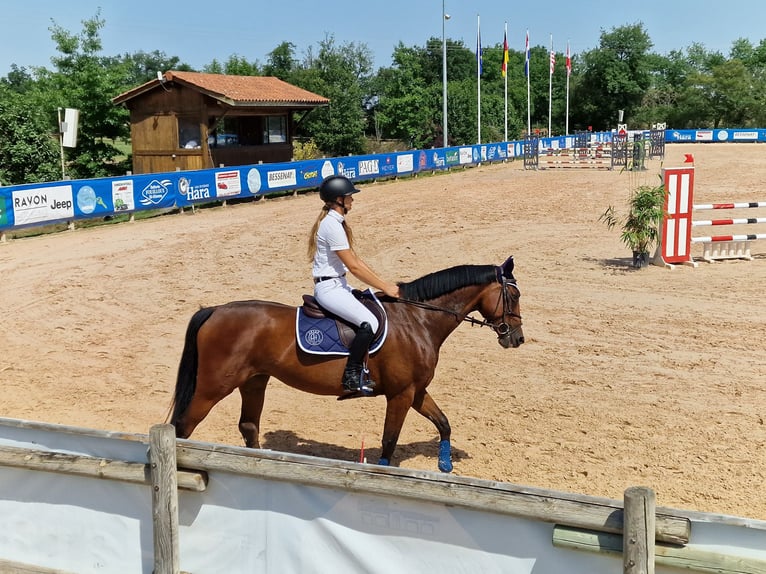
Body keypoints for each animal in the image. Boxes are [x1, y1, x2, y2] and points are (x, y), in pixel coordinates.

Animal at [170, 256, 524, 472]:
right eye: (515, 296)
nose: (517, 339)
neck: (418, 319)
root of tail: (215, 310)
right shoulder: (401, 395)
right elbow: (389, 441)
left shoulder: (416, 391)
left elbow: (444, 423)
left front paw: (446, 465)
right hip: (214, 386)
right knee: (183, 426)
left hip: (254, 381)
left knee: (249, 427)